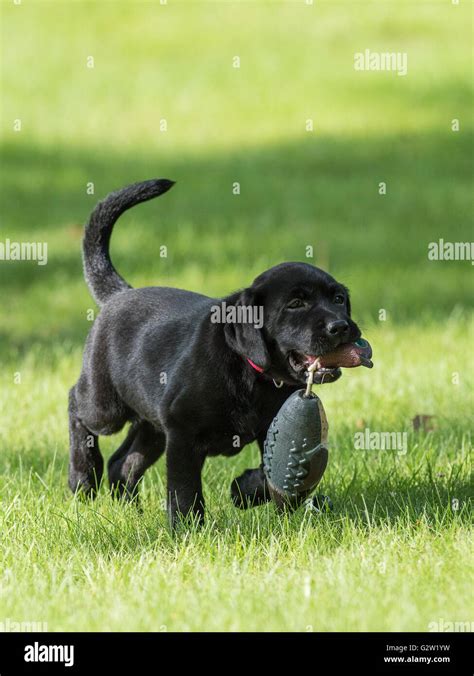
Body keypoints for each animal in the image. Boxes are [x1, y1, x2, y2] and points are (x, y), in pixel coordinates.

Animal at [68, 180, 362, 528]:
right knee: (77, 407)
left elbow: (269, 472)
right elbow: (184, 486)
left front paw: (243, 490)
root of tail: (119, 295)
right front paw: (187, 527)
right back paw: (82, 478)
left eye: (339, 298)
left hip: (152, 423)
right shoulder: (181, 430)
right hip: (106, 406)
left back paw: (129, 510)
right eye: (295, 303)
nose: (340, 326)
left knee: (123, 463)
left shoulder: (268, 429)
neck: (253, 376)